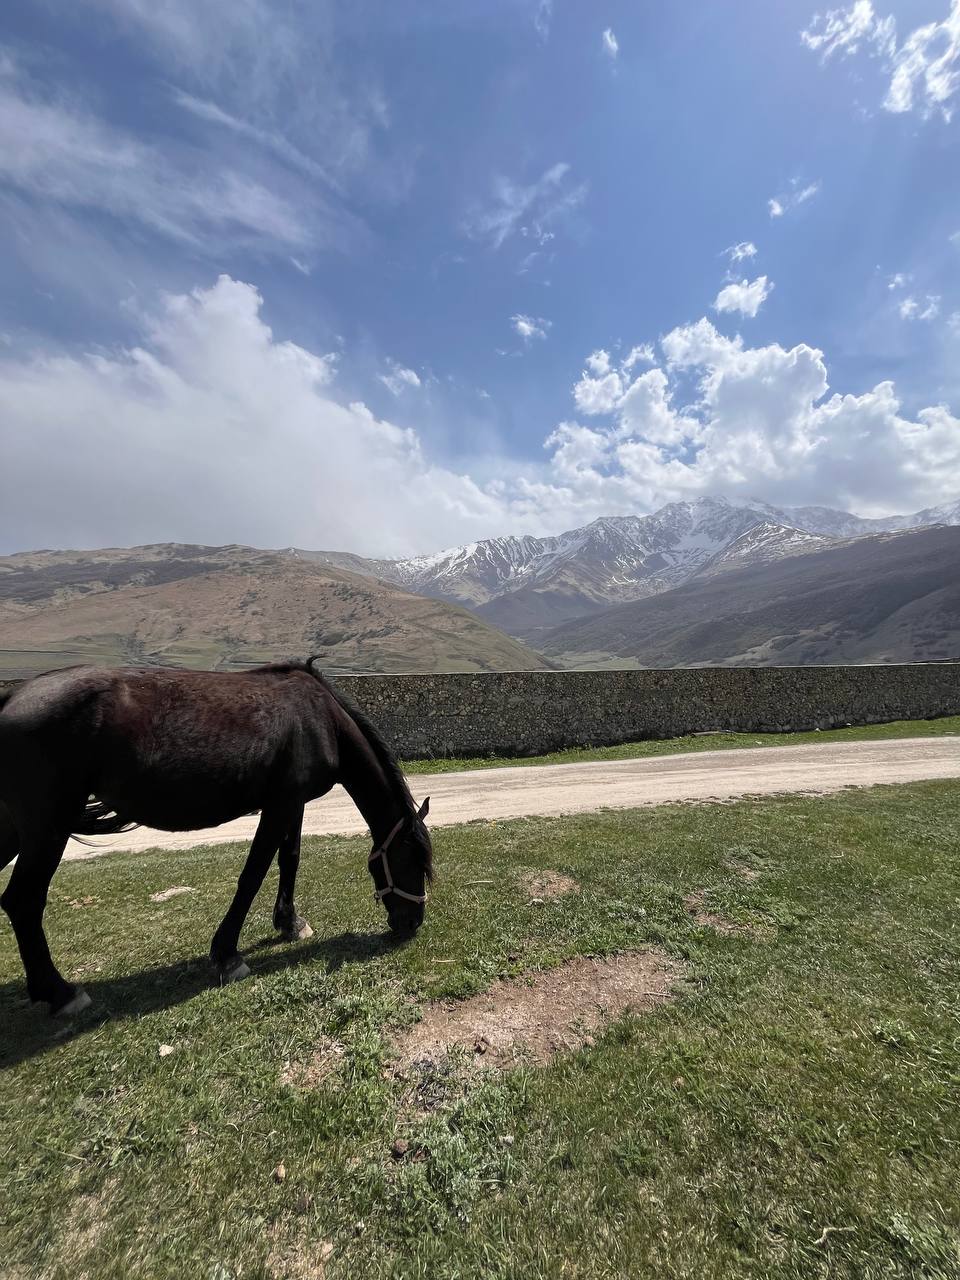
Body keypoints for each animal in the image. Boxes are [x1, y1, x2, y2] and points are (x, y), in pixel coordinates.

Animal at [0, 660, 432, 1008]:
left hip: (18, 829)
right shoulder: (280, 805)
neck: (321, 720)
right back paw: (60, 993)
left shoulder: (294, 803)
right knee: (23, 901)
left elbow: (290, 859)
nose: (412, 923)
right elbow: (253, 874)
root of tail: (13, 695)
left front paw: (289, 923)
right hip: (47, 828)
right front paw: (228, 954)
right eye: (411, 862)